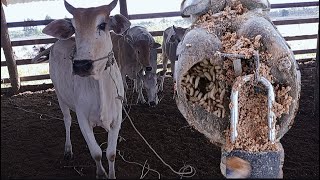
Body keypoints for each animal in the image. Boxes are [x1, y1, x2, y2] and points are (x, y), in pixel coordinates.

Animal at [32, 0, 131, 178]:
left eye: (102, 25)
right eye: (74, 28)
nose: (81, 65)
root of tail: (57, 42)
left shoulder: (117, 118)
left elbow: (111, 154)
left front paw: (111, 174)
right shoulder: (83, 118)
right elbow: (96, 153)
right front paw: (100, 173)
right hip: (60, 95)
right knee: (67, 120)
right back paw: (68, 149)